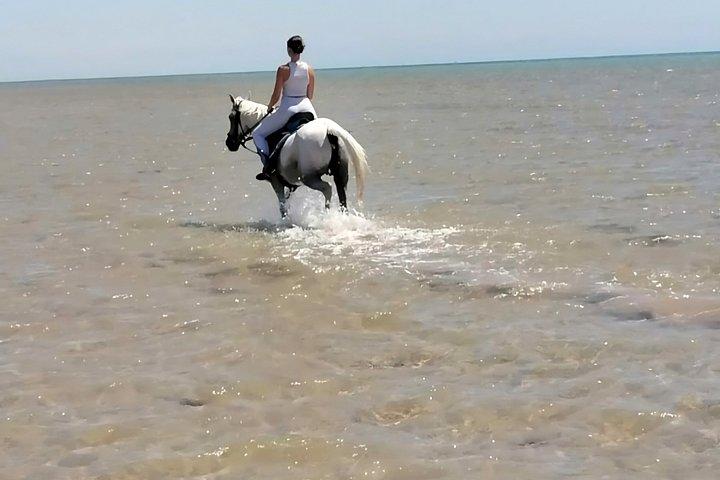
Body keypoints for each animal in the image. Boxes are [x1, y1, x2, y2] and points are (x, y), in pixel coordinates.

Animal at [225, 95, 369, 218]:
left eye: (231, 117)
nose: (229, 143)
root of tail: (329, 129)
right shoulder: (291, 184)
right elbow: (287, 202)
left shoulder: (275, 181)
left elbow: (282, 206)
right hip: (340, 174)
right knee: (342, 196)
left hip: (309, 177)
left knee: (327, 188)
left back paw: (326, 215)